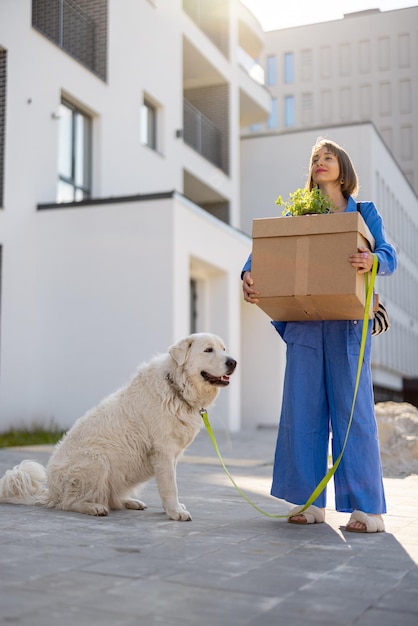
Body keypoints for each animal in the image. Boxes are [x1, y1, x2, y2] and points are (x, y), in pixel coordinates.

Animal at [0, 334, 235, 520]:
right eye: (208, 350)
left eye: (224, 348)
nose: (233, 362)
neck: (176, 388)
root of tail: (52, 492)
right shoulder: (164, 452)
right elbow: (170, 486)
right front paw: (175, 512)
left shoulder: (171, 456)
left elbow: (167, 485)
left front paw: (172, 509)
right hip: (96, 460)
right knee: (68, 503)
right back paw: (94, 507)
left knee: (109, 498)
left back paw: (130, 502)